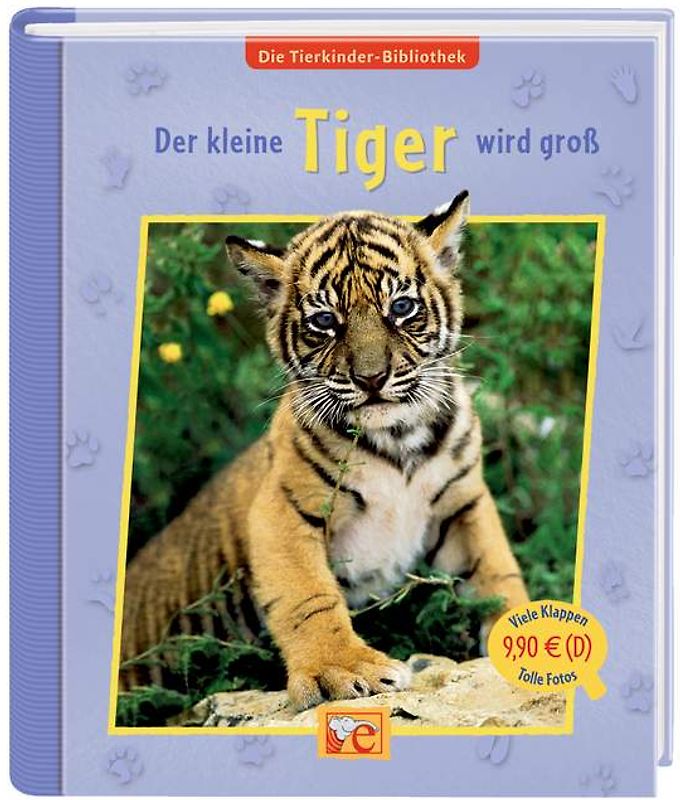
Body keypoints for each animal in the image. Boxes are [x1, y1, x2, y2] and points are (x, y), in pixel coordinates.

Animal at [120, 190, 529, 710]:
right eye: (325, 321)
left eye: (401, 307)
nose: (371, 378)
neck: (398, 440)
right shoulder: (283, 510)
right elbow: (308, 597)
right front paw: (342, 670)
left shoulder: (464, 502)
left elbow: (498, 571)